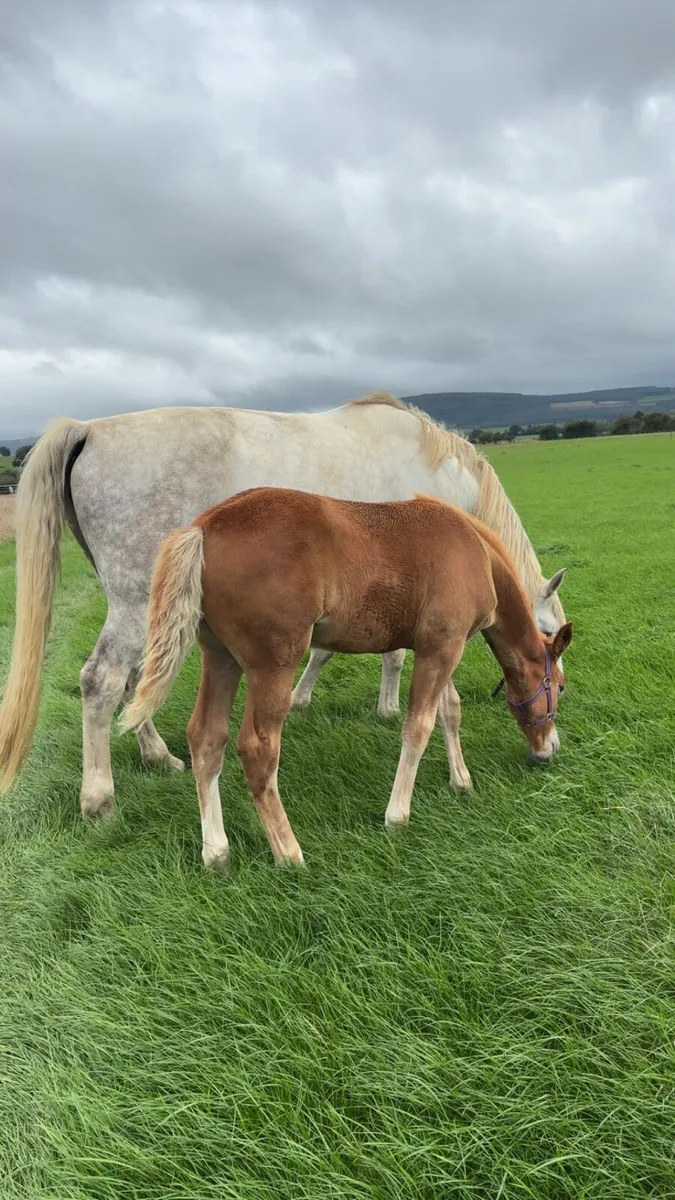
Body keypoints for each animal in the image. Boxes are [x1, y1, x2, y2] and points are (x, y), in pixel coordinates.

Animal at [0, 392, 566, 815]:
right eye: (554, 672)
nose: (550, 749)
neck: (442, 470)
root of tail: (88, 429)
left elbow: (339, 650)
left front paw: (312, 699)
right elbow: (391, 657)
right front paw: (382, 707)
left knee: (137, 680)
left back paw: (159, 757)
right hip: (137, 601)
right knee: (103, 681)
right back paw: (99, 798)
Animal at [121, 488, 572, 869]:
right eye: (560, 687)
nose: (549, 749)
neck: (476, 551)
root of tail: (206, 526)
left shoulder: (441, 646)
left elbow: (449, 711)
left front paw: (460, 781)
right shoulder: (442, 647)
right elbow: (418, 726)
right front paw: (397, 815)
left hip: (220, 658)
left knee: (206, 738)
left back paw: (216, 851)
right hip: (274, 665)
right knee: (257, 749)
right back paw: (288, 853)